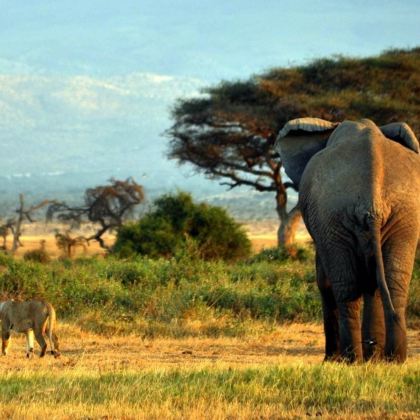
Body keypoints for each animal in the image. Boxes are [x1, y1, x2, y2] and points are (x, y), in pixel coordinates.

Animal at [276, 117, 420, 360]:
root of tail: (372, 201)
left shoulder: (323, 224)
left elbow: (324, 279)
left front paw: (333, 360)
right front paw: (373, 358)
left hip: (335, 216)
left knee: (346, 286)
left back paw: (349, 360)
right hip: (403, 214)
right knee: (392, 282)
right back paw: (391, 360)